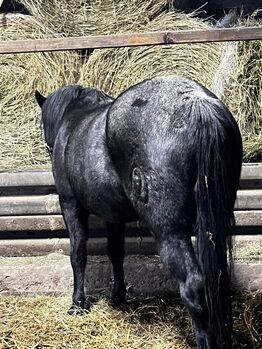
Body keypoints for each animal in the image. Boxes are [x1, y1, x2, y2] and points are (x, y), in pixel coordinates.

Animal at [35, 76, 243, 348]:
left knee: (193, 285)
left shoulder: (70, 204)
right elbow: (116, 253)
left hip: (170, 233)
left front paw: (77, 304)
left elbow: (78, 254)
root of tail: (198, 105)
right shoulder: (113, 216)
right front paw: (117, 297)